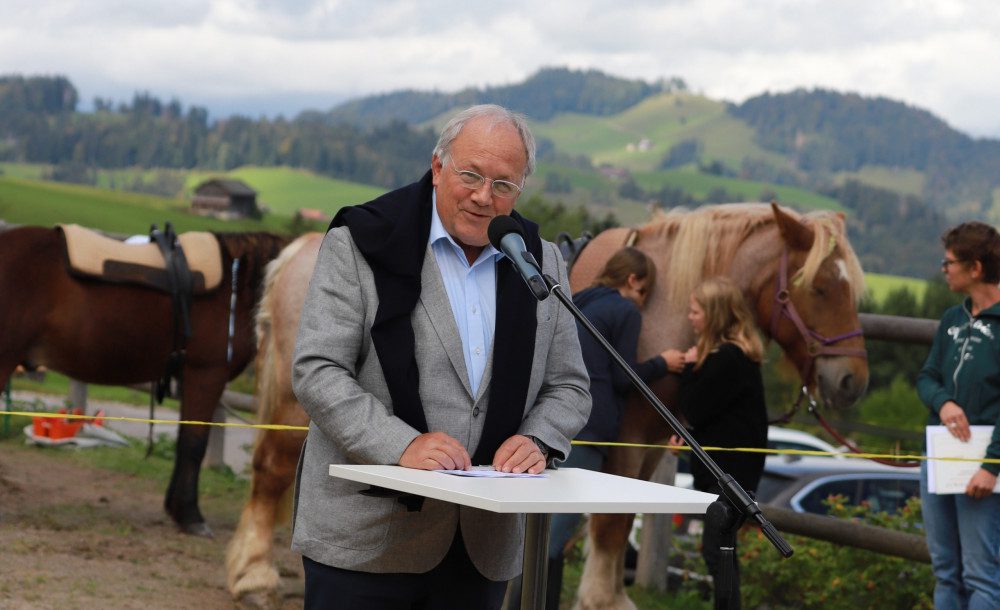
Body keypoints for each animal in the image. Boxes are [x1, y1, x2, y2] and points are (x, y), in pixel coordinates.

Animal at [227, 202, 868, 604]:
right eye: (819, 286)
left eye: (853, 289)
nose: (850, 382)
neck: (661, 299)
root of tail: (301, 250)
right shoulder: (626, 435)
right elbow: (611, 527)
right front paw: (603, 599)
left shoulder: (650, 443)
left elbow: (617, 520)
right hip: (298, 398)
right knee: (273, 470)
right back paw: (253, 575)